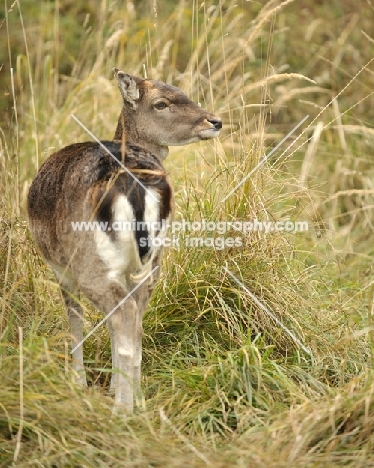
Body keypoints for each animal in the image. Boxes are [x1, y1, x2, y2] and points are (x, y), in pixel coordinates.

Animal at [29, 67, 224, 412]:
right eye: (162, 102)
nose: (215, 121)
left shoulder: (62, 270)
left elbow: (76, 319)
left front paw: (79, 383)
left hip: (91, 264)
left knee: (122, 318)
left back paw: (121, 410)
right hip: (151, 265)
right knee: (135, 323)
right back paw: (136, 401)